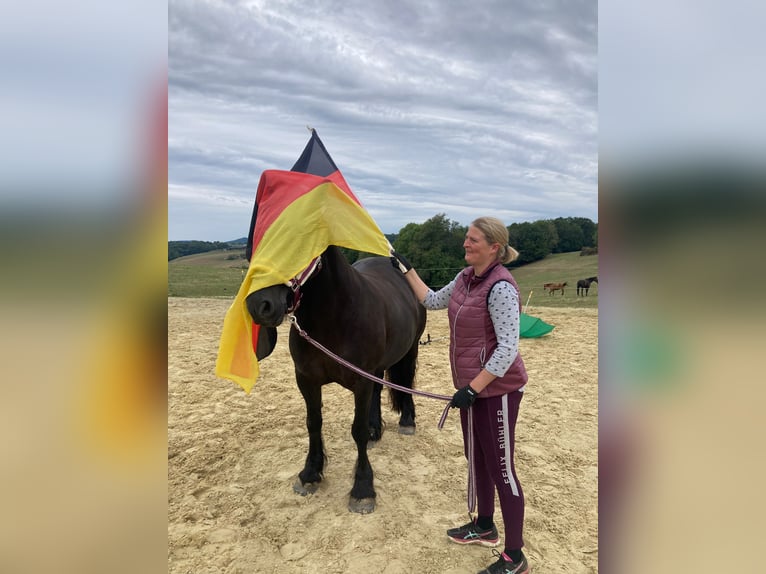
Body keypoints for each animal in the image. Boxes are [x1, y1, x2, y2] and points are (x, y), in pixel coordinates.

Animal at [245, 245, 426, 514]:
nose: (260, 305)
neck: (333, 316)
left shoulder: (360, 382)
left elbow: (358, 430)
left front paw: (362, 489)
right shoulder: (306, 380)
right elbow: (313, 423)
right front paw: (310, 474)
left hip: (409, 350)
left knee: (405, 382)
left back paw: (406, 421)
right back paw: (375, 429)